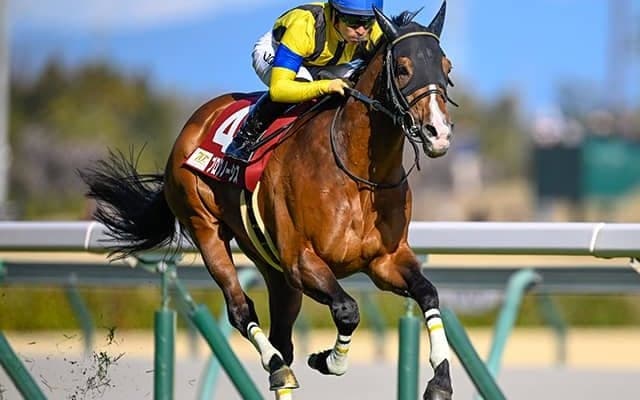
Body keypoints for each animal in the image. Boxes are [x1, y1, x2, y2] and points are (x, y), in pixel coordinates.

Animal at [81, 3, 456, 399]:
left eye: (446, 68)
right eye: (402, 68)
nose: (438, 133)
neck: (355, 173)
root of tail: (194, 123)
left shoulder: (385, 260)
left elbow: (428, 294)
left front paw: (440, 379)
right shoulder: (301, 261)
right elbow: (347, 310)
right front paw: (327, 360)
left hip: (272, 267)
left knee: (283, 338)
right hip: (206, 228)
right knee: (241, 309)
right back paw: (277, 367)